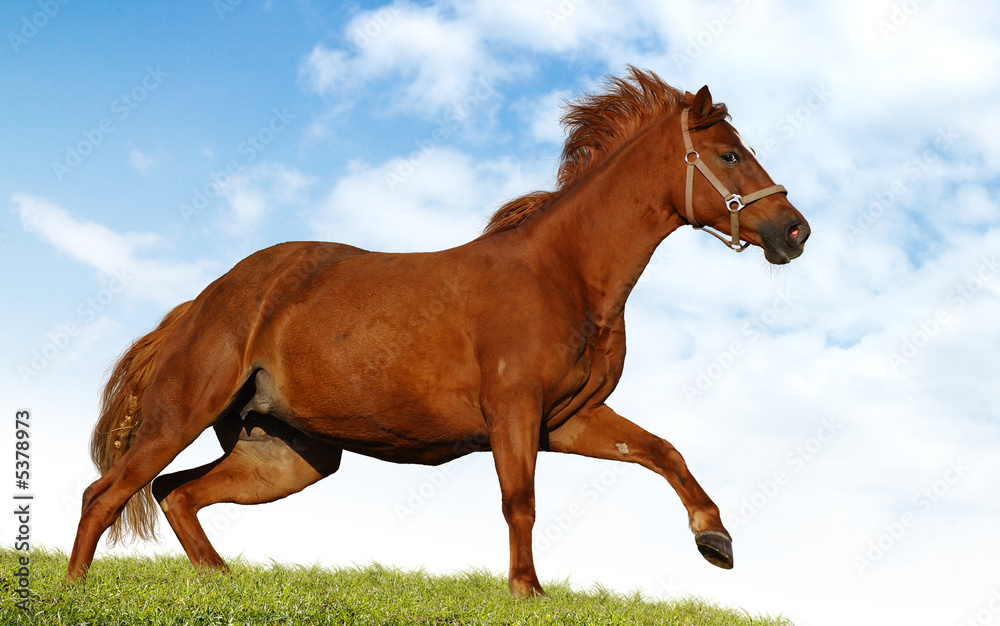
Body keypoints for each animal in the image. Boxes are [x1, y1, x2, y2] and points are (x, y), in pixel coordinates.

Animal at [67, 66, 809, 597]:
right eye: (729, 155)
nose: (795, 231)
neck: (562, 273)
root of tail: (200, 304)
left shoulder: (568, 419)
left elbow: (664, 451)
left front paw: (715, 541)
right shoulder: (513, 411)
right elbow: (520, 502)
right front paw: (527, 591)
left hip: (285, 454)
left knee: (176, 493)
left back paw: (221, 579)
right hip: (181, 415)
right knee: (107, 493)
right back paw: (75, 589)